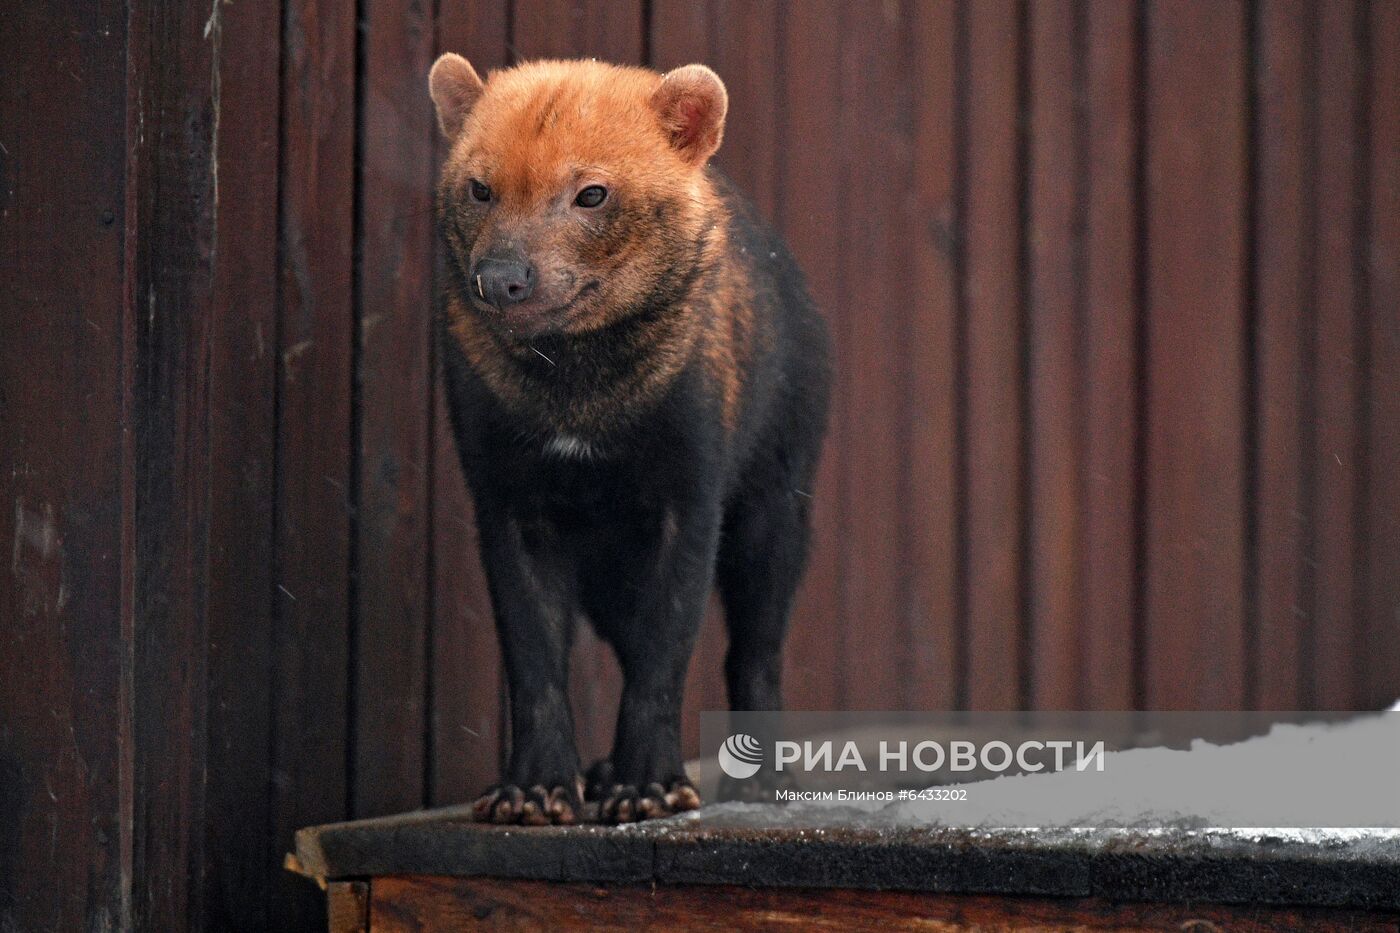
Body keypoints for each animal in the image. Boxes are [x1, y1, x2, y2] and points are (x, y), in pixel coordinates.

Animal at [431, 54, 823, 818]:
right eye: (479, 187)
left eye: (591, 193)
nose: (500, 278)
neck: (581, 403)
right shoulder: (507, 502)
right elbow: (534, 656)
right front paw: (535, 790)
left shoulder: (690, 495)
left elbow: (666, 650)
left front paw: (649, 788)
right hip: (610, 566)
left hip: (776, 502)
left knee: (757, 644)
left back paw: (763, 778)